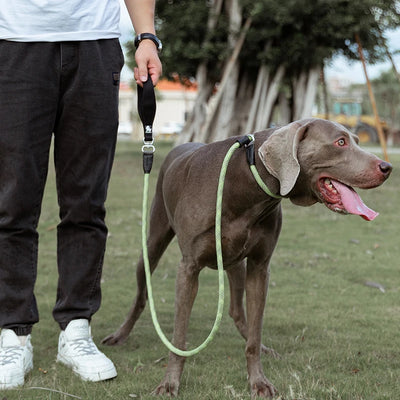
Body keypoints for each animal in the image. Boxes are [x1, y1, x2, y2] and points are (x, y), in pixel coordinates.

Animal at [102, 118, 390, 396]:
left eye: (357, 140)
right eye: (340, 142)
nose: (387, 167)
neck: (247, 184)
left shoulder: (259, 267)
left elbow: (254, 331)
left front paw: (258, 381)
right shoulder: (189, 268)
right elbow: (179, 338)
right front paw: (170, 384)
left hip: (236, 263)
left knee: (237, 312)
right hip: (152, 243)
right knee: (141, 296)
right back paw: (120, 335)